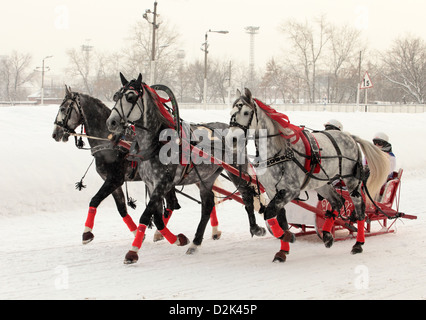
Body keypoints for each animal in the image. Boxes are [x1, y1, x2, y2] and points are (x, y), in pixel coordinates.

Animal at [52, 86, 181, 244]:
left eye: (63, 109)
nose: (55, 133)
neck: (112, 142)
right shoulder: (112, 181)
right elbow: (121, 208)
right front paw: (136, 232)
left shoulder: (115, 179)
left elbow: (94, 200)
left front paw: (87, 233)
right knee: (171, 203)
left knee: (171, 203)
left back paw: (161, 233)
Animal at [106, 74, 266, 264]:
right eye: (116, 96)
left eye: (130, 97)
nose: (111, 122)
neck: (157, 143)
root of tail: (234, 131)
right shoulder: (152, 184)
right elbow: (157, 217)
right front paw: (177, 239)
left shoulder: (163, 182)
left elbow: (146, 216)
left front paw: (132, 252)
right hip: (206, 177)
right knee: (208, 204)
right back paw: (195, 243)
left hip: (235, 169)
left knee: (247, 194)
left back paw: (256, 228)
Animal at [226, 88, 390, 262]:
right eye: (231, 112)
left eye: (245, 112)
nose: (232, 139)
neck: (279, 152)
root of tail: (350, 136)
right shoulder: (272, 191)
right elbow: (280, 219)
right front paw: (283, 248)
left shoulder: (290, 190)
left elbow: (269, 213)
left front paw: (287, 237)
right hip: (322, 183)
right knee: (337, 201)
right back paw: (327, 235)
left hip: (352, 181)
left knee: (360, 209)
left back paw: (358, 243)